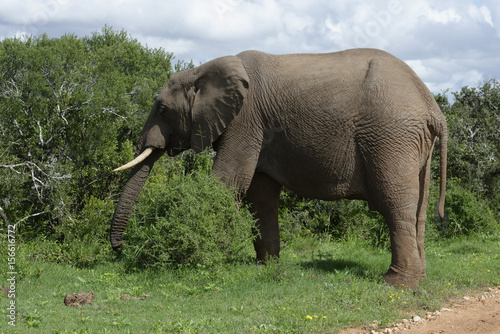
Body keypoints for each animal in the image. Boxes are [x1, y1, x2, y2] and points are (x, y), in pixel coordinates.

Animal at [109, 48, 446, 288]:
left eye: (162, 110)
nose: (120, 248)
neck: (202, 69)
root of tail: (433, 108)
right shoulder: (256, 129)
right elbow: (261, 195)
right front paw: (265, 267)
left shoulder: (245, 120)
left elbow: (229, 181)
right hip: (413, 143)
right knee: (419, 209)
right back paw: (419, 279)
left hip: (390, 136)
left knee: (395, 203)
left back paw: (396, 284)